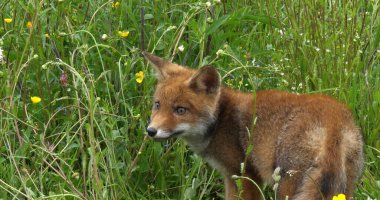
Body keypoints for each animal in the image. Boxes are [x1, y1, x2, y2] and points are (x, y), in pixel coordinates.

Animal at [143, 51, 366, 200]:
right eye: (157, 105)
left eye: (180, 110)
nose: (151, 131)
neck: (221, 119)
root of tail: (333, 120)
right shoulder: (233, 176)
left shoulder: (244, 174)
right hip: (344, 187)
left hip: (287, 185)